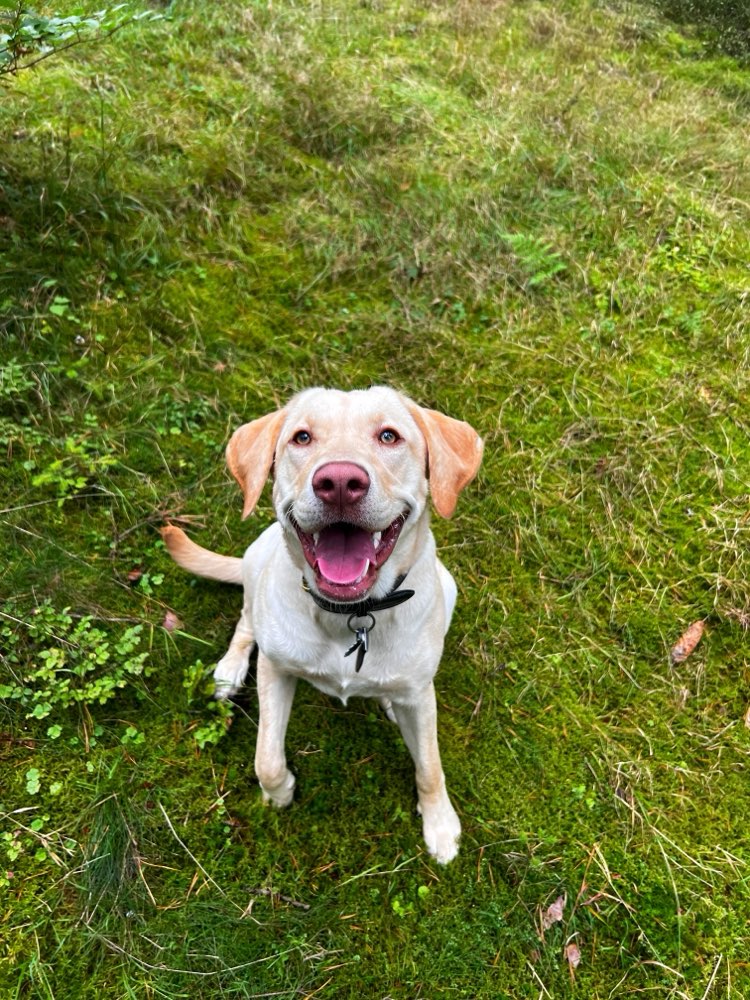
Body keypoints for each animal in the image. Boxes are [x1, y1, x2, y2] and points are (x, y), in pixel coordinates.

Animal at [162, 386, 484, 864]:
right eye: (301, 437)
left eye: (389, 435)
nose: (339, 483)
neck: (350, 615)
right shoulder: (276, 670)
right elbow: (266, 758)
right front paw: (279, 793)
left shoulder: (422, 697)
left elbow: (430, 766)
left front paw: (440, 826)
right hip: (256, 558)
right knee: (246, 618)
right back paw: (231, 668)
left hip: (449, 587)